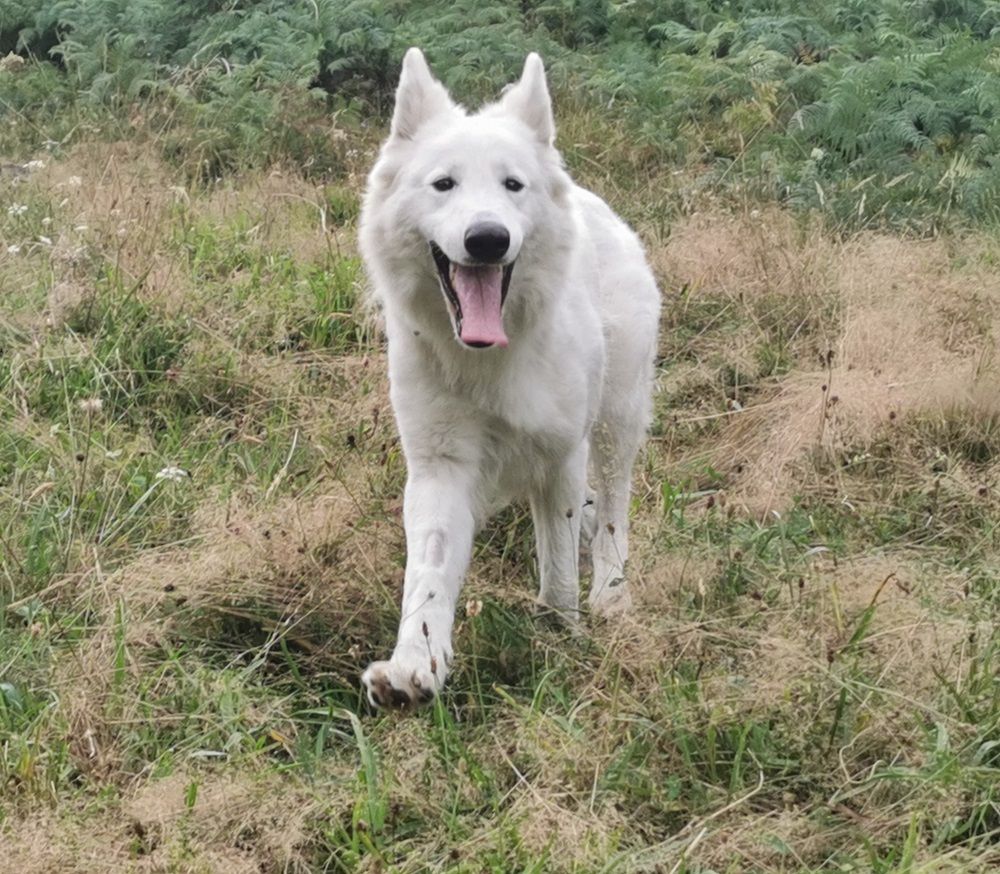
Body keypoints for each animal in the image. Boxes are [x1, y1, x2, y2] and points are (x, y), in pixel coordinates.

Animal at [356, 47, 660, 704]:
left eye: (512, 186)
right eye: (443, 184)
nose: (488, 239)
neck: (489, 358)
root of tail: (593, 201)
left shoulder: (562, 457)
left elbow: (559, 564)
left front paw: (561, 631)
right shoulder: (440, 468)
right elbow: (428, 575)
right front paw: (415, 664)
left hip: (617, 421)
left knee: (614, 508)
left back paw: (611, 592)